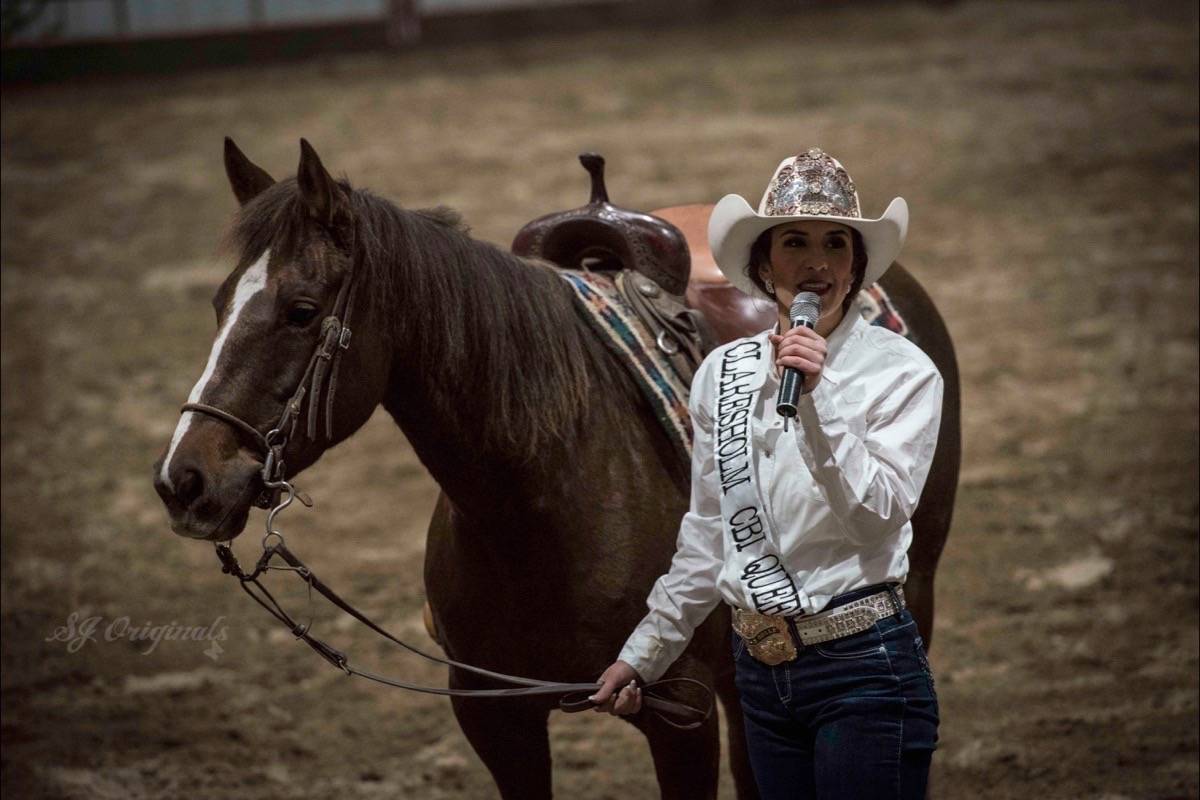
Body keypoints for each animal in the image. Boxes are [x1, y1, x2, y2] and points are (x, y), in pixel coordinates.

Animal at [150, 137, 955, 800]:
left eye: (300, 309)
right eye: (219, 303)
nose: (184, 481)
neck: (539, 507)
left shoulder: (680, 715)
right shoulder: (495, 722)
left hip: (913, 589)